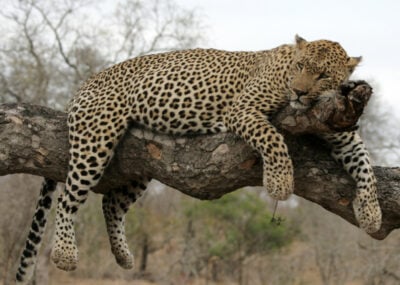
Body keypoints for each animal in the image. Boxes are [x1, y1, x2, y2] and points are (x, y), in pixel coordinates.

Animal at [15, 35, 382, 282]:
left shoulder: (341, 128)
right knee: (67, 197)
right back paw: (64, 254)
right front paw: (279, 182)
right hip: (97, 138)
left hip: (140, 162)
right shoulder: (243, 109)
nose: (299, 92)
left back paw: (124, 257)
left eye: (323, 75)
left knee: (110, 205)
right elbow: (274, 138)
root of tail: (84, 83)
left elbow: (366, 168)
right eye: (301, 66)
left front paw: (372, 215)